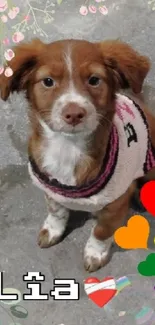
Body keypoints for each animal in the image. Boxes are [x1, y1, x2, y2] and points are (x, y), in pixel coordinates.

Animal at [0, 38, 154, 270]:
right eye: (48, 81)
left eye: (94, 80)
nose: (74, 114)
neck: (68, 148)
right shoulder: (51, 188)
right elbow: (56, 212)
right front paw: (53, 230)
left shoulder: (115, 205)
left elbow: (101, 231)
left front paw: (95, 254)